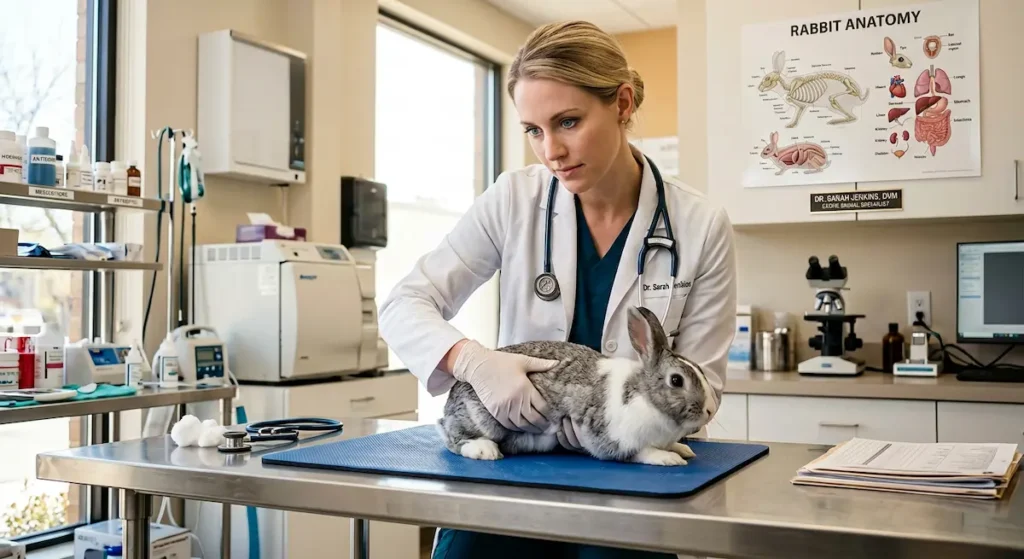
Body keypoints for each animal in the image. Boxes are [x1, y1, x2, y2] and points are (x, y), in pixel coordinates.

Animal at [436, 306, 717, 466]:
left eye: (700, 370)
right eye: (676, 380)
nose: (711, 410)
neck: (644, 396)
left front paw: (683, 449)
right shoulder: (614, 440)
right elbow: (641, 453)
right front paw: (669, 458)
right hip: (482, 419)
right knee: (453, 437)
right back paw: (484, 450)